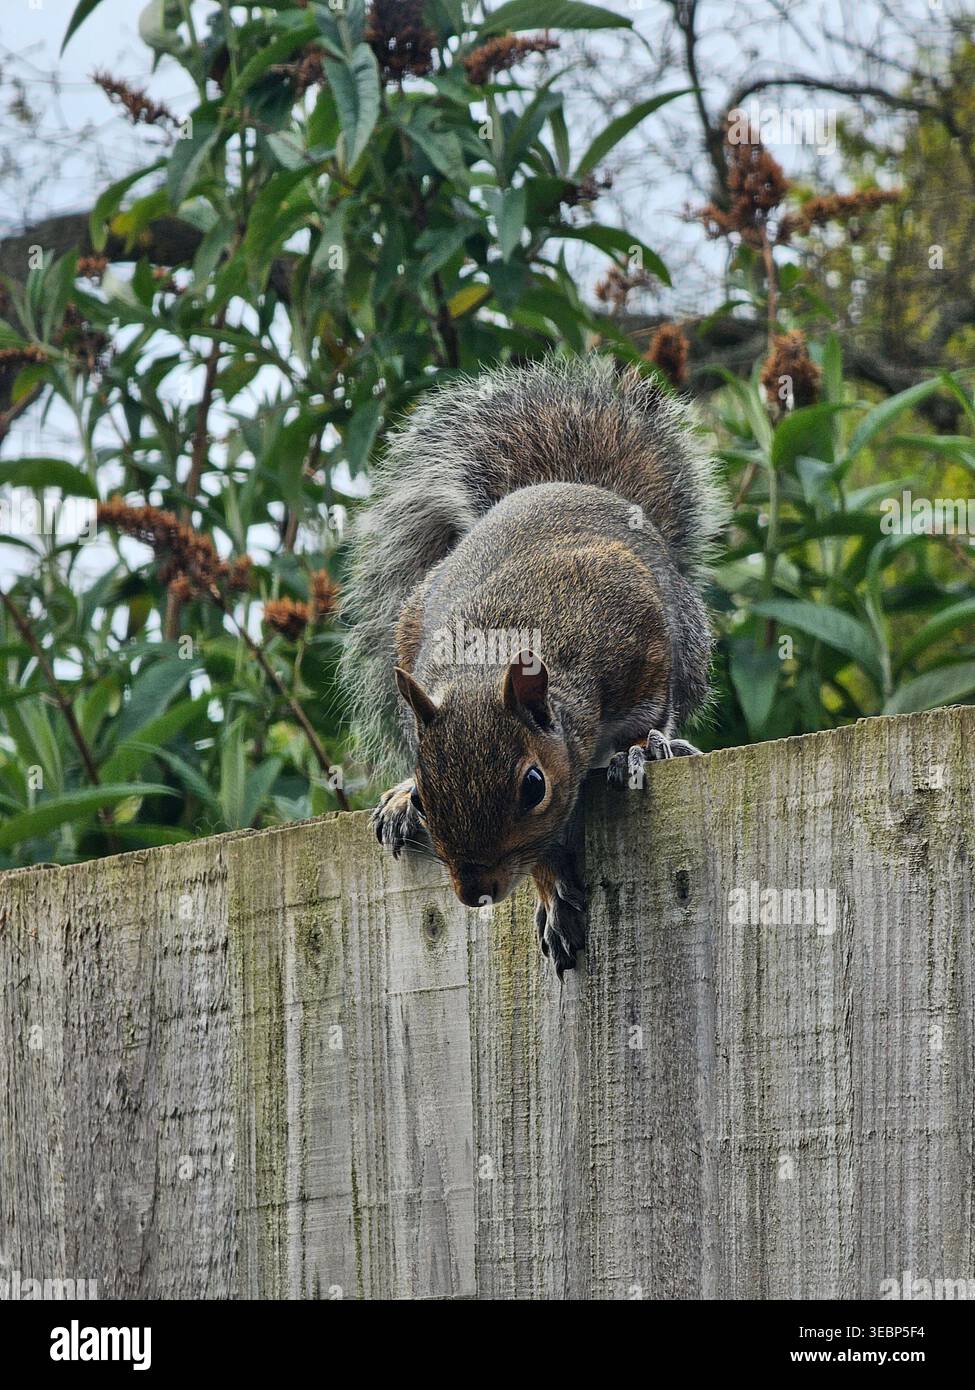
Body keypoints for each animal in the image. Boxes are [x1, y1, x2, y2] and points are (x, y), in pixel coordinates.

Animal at [341, 356, 727, 975]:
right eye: (428, 797)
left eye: (532, 786)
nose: (476, 892)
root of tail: (572, 485)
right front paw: (550, 895)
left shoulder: (633, 623)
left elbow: (648, 714)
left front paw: (643, 748)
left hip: (687, 641)